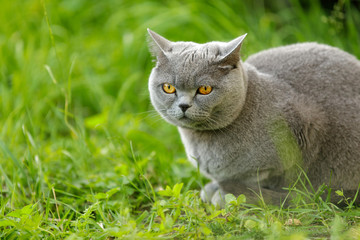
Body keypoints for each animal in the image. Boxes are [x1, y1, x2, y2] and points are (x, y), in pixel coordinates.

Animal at [146, 29, 360, 207]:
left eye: (205, 89)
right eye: (168, 88)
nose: (183, 105)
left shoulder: (304, 127)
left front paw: (231, 194)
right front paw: (217, 188)